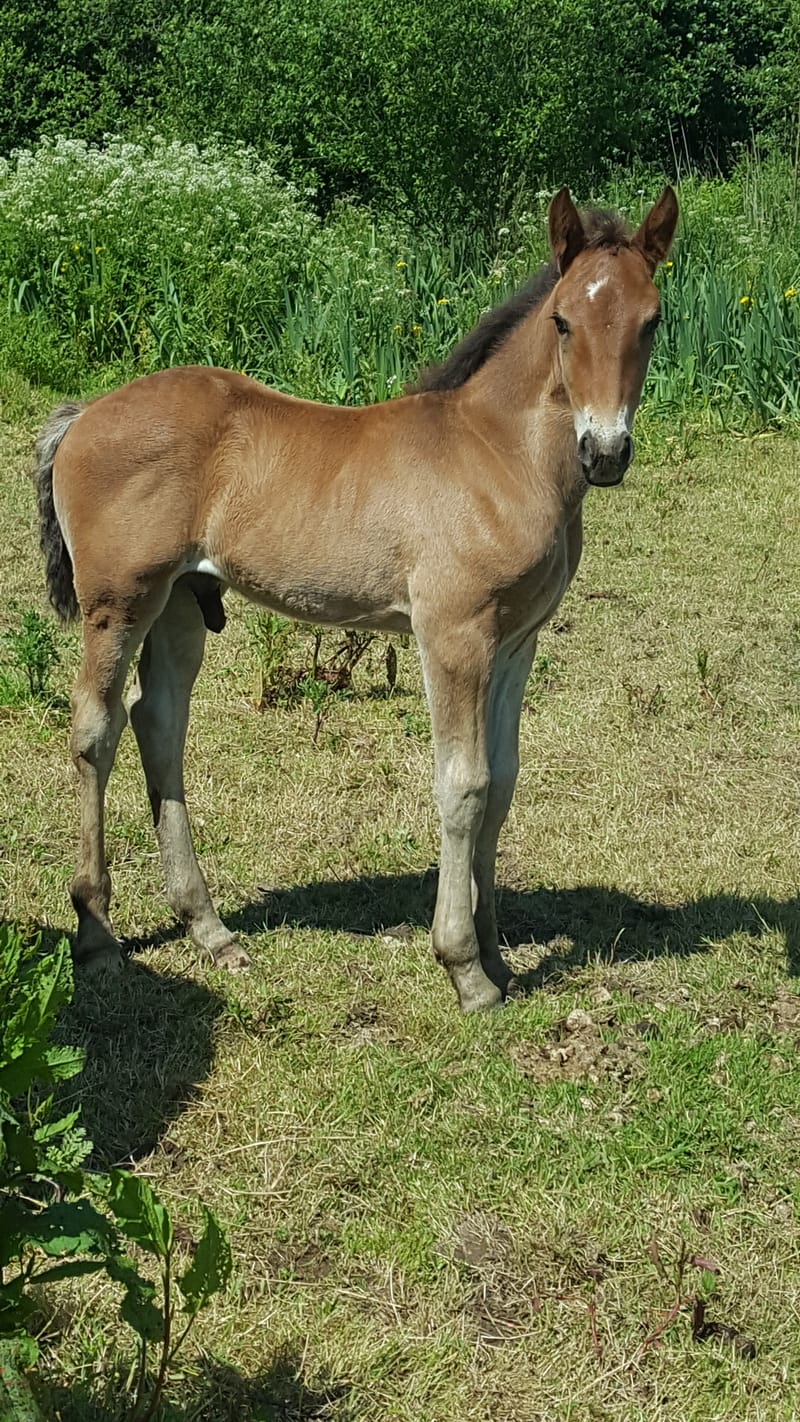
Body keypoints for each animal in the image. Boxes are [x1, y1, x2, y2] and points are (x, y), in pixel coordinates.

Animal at [33, 185, 678, 1013]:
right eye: (564, 320)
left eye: (652, 319)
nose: (605, 453)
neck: (499, 454)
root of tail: (83, 414)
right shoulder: (453, 634)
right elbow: (463, 785)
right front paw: (465, 969)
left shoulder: (517, 639)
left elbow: (503, 779)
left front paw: (498, 952)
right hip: (119, 602)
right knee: (95, 730)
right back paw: (97, 936)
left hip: (179, 601)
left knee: (159, 724)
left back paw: (210, 930)